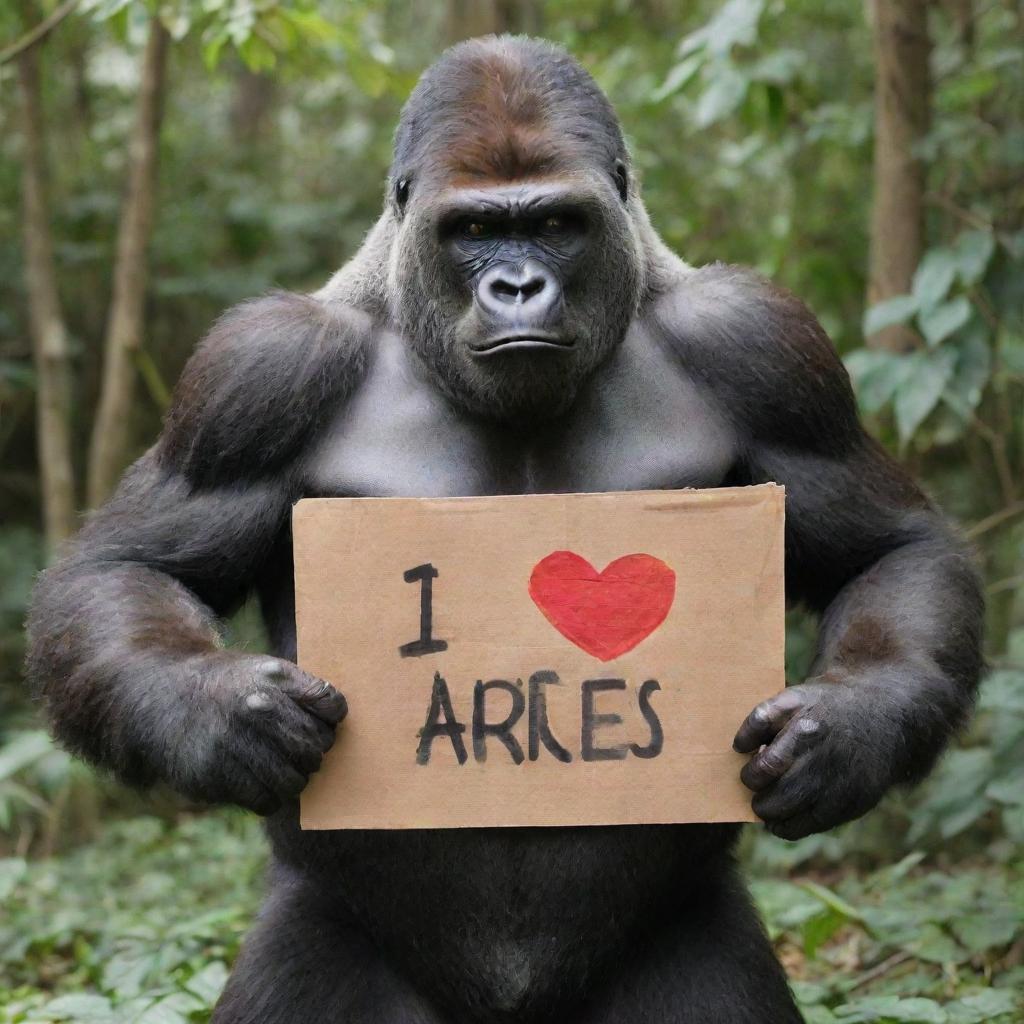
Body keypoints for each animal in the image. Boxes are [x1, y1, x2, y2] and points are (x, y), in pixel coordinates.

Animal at [28, 34, 978, 1024]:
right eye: (473, 231)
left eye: (557, 223)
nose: (517, 286)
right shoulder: (256, 371)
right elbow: (129, 567)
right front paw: (229, 718)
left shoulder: (766, 345)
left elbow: (887, 549)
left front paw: (841, 737)